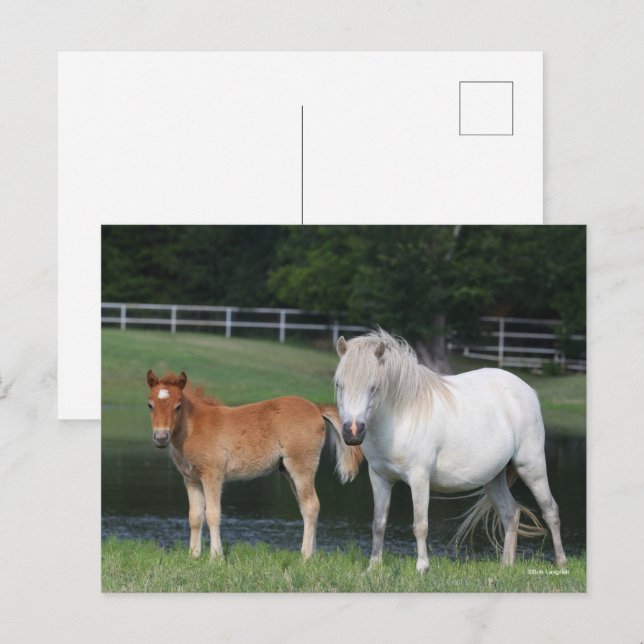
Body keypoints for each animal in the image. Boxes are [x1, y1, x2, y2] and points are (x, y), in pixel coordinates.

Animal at [145, 369, 362, 559]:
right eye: (150, 405)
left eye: (178, 406)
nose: (161, 438)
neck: (193, 428)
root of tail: (317, 408)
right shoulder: (191, 479)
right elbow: (195, 517)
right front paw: (194, 556)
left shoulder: (212, 475)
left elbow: (213, 514)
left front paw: (216, 557)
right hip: (288, 471)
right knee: (306, 508)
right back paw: (313, 554)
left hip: (302, 466)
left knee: (311, 506)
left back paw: (306, 556)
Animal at [333, 329, 567, 573]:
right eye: (339, 385)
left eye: (374, 386)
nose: (352, 431)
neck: (402, 415)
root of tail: (528, 390)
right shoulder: (379, 477)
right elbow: (378, 523)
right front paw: (373, 567)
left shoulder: (419, 478)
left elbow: (420, 525)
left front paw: (422, 568)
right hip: (494, 477)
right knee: (510, 512)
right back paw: (506, 565)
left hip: (531, 466)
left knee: (550, 510)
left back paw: (561, 563)